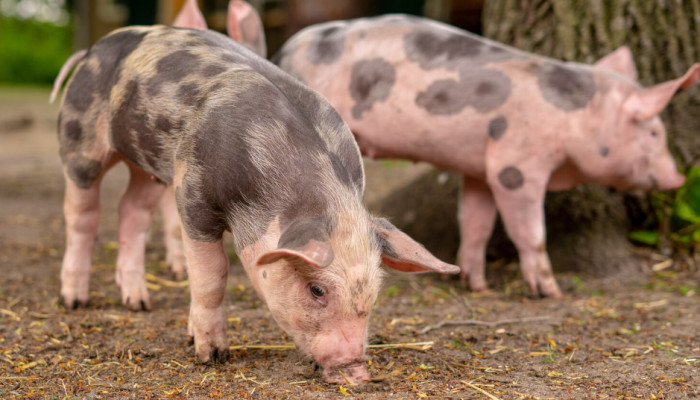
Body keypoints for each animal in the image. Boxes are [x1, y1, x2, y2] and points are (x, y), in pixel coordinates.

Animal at [50, 22, 459, 384]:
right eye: (317, 290)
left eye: (374, 291)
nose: (357, 372)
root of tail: (92, 50)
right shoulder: (191, 194)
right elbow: (211, 275)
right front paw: (211, 355)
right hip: (80, 142)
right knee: (81, 215)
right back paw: (74, 300)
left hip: (148, 165)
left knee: (131, 210)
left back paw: (138, 303)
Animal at [273, 14, 700, 299]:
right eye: (654, 132)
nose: (679, 177)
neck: (575, 117)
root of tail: (286, 50)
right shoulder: (515, 166)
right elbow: (530, 232)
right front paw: (551, 292)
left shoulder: (479, 168)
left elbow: (476, 222)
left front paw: (475, 284)